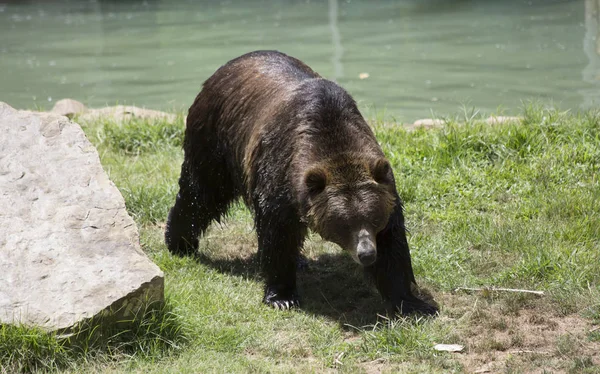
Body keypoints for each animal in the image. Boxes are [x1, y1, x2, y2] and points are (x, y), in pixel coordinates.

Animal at [166, 49, 438, 312]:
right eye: (344, 223)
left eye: (373, 218)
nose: (367, 254)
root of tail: (224, 68)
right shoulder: (278, 175)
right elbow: (277, 234)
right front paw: (282, 296)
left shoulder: (384, 188)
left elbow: (393, 246)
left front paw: (412, 302)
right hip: (215, 139)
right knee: (201, 193)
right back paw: (179, 242)